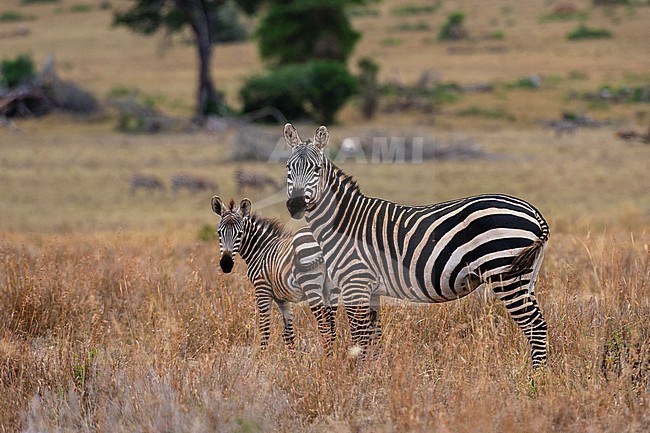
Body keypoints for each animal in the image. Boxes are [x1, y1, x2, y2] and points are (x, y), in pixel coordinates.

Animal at [211, 196, 340, 352]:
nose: (226, 264)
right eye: (219, 233)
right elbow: (289, 334)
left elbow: (265, 330)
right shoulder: (282, 298)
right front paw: (294, 358)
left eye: (240, 234)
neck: (261, 249)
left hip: (311, 284)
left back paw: (325, 357)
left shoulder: (262, 289)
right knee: (332, 330)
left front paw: (262, 356)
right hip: (330, 289)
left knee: (324, 328)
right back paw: (333, 357)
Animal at [282, 123, 548, 366]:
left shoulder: (355, 283)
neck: (345, 222)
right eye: (288, 168)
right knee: (537, 323)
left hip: (505, 273)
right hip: (526, 276)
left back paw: (535, 378)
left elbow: (359, 337)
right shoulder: (371, 288)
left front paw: (357, 375)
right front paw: (374, 373)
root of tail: (533, 211)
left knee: (535, 325)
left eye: (316, 169)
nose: (295, 205)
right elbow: (374, 338)